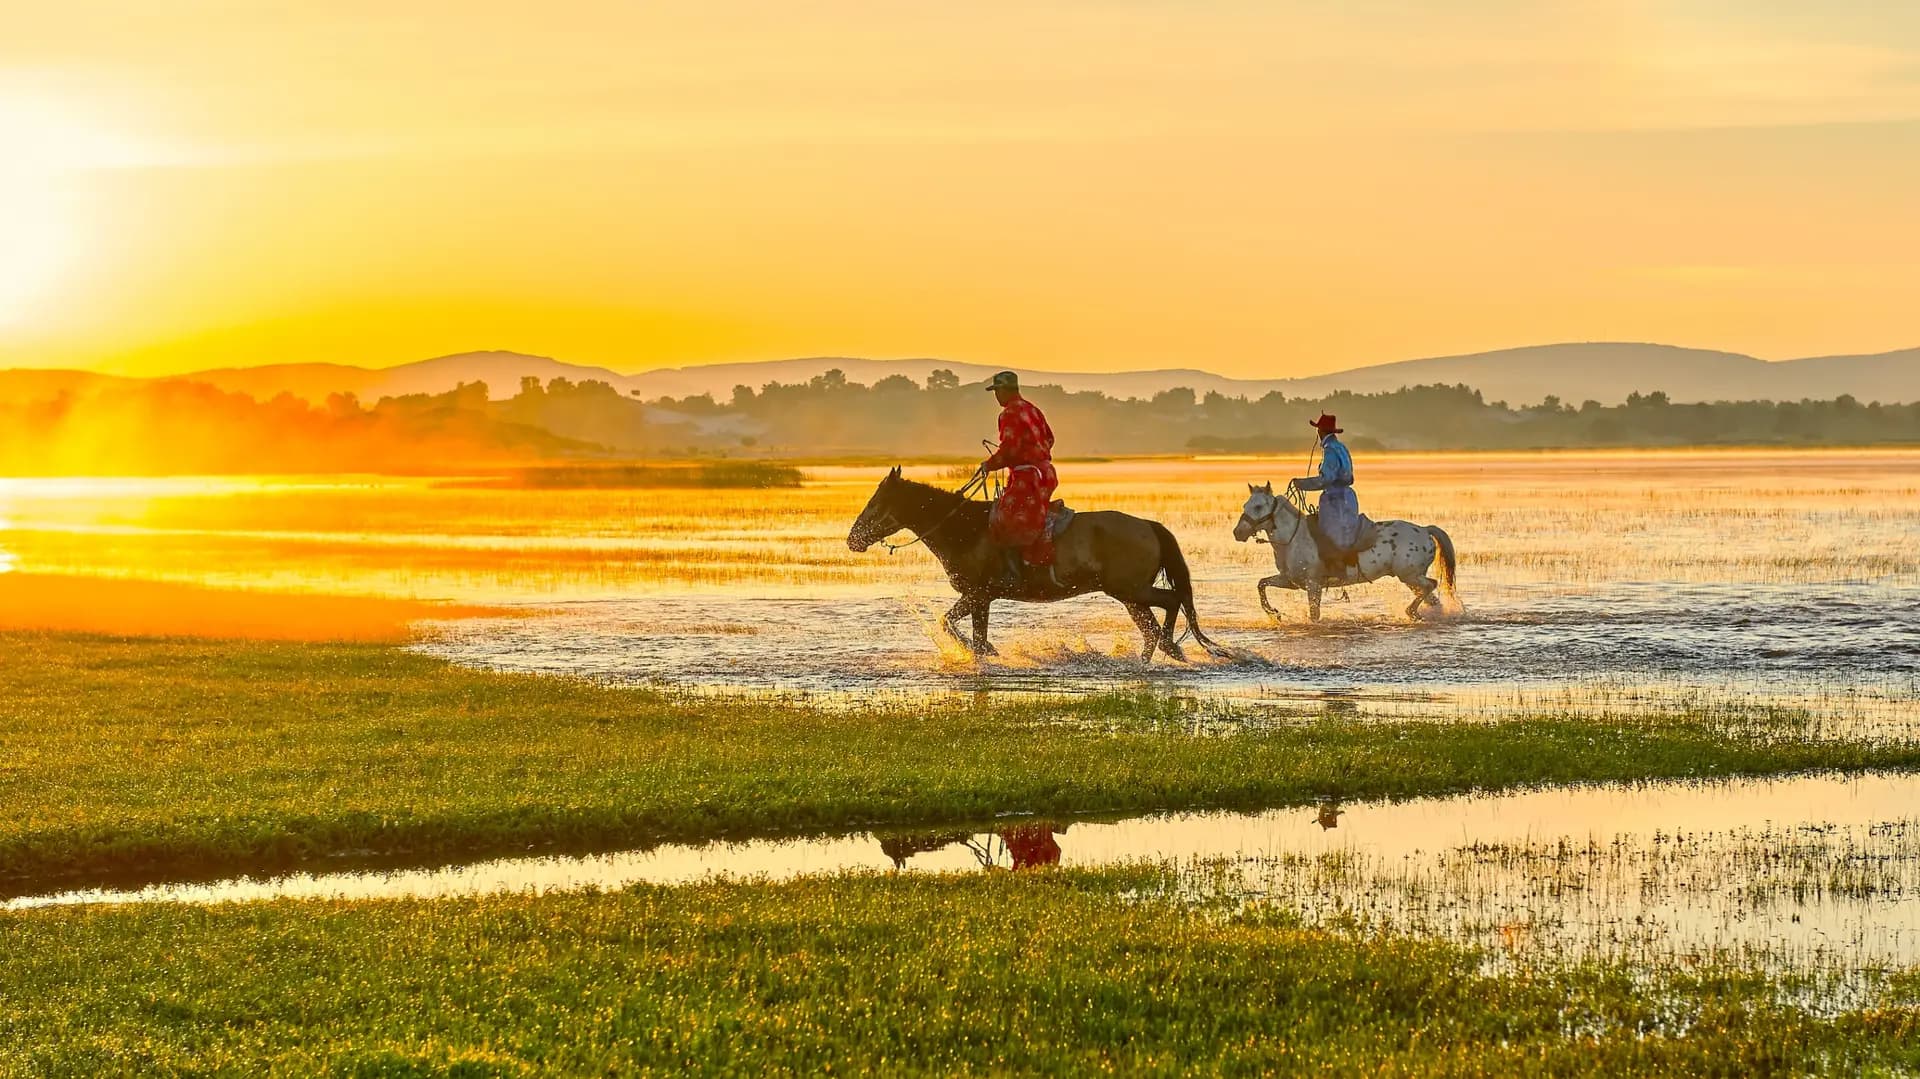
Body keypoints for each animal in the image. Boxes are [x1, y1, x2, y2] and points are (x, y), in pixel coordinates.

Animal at [847, 467, 1229, 662]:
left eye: (875, 503)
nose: (853, 539)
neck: (964, 528)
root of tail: (1149, 525)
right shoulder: (981, 598)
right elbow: (969, 630)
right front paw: (983, 651)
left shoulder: (977, 594)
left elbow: (950, 624)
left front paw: (980, 650)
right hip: (1129, 595)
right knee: (1150, 626)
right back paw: (1152, 655)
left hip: (1131, 589)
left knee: (1171, 602)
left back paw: (1170, 647)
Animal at [1232, 481, 1458, 621]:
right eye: (1245, 505)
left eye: (1259, 506)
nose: (1238, 532)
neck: (1292, 539)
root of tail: (1424, 530)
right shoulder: (1290, 580)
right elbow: (1261, 584)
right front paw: (1274, 613)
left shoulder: (1313, 584)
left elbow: (1314, 614)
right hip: (1411, 578)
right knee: (1431, 597)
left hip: (1409, 575)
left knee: (1431, 585)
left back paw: (1411, 612)